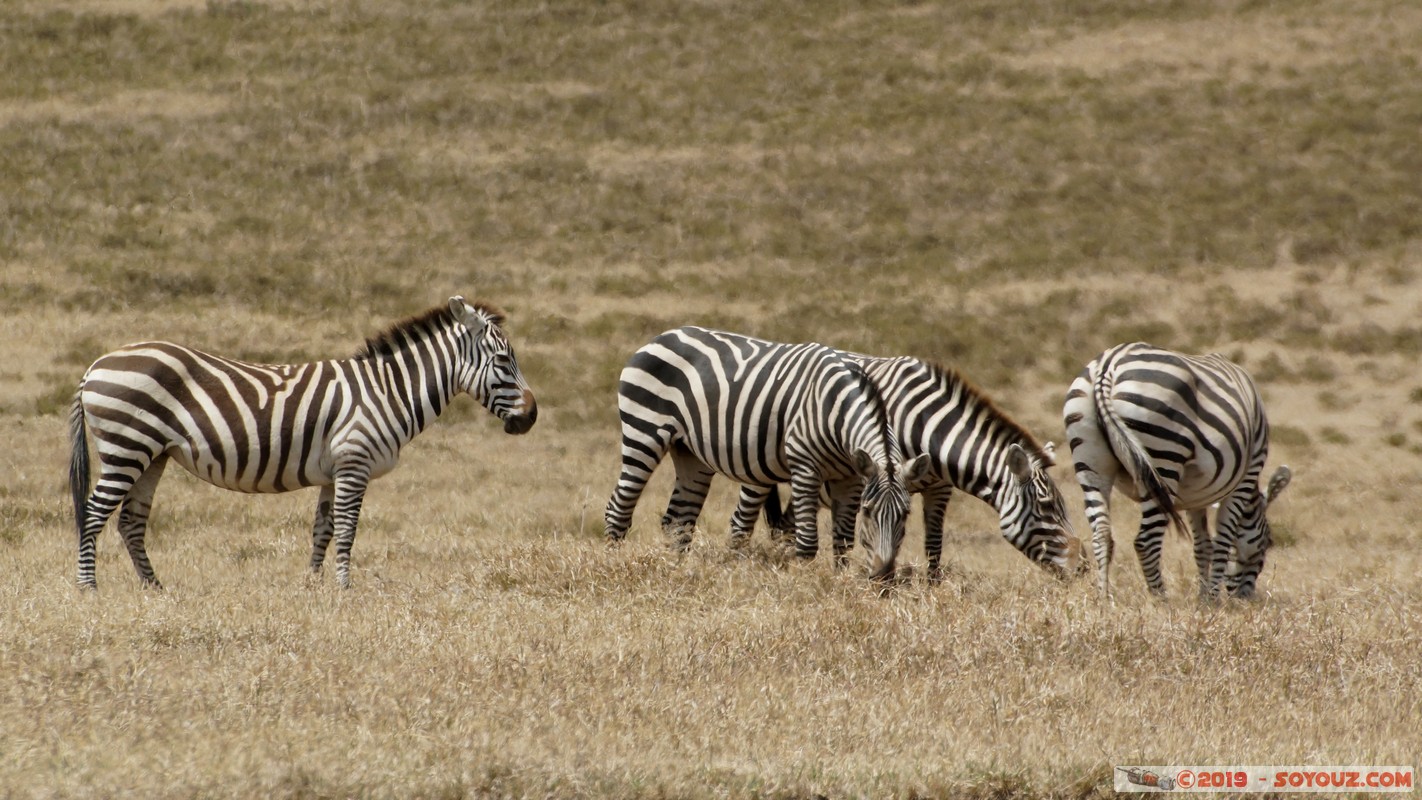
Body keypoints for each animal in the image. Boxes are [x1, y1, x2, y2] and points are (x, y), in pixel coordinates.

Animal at [65, 296, 537, 591]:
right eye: (502, 360)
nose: (531, 417)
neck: (388, 391)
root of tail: (95, 366)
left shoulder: (335, 470)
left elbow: (323, 529)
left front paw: (313, 585)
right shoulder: (354, 462)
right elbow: (347, 529)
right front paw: (345, 587)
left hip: (153, 454)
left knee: (131, 521)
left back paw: (155, 587)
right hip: (126, 447)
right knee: (94, 512)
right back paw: (89, 587)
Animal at [602, 326, 927, 582]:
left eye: (906, 514)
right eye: (869, 511)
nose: (883, 577)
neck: (836, 409)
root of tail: (662, 336)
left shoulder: (851, 478)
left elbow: (844, 541)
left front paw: (840, 583)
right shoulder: (805, 466)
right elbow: (808, 542)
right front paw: (805, 585)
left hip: (690, 454)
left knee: (678, 522)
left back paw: (675, 571)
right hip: (644, 432)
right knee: (619, 509)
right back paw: (613, 566)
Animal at [745, 356, 1075, 582]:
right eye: (1046, 507)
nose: (1081, 565)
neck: (923, 427)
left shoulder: (939, 489)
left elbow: (933, 543)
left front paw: (932, 586)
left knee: (784, 525)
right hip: (761, 470)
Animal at [1069, 341, 1291, 596]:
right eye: (1267, 543)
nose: (1246, 598)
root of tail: (1110, 363)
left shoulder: (1197, 494)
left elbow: (1203, 546)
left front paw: (1203, 598)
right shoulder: (1245, 477)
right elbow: (1223, 541)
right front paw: (1213, 598)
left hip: (1090, 462)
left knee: (1102, 534)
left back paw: (1104, 597)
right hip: (1163, 457)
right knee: (1145, 541)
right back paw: (1160, 599)